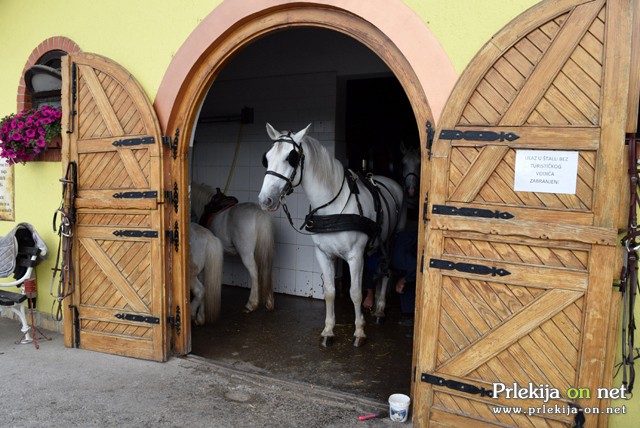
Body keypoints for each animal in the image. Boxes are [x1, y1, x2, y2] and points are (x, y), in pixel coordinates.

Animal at [256, 122, 402, 346]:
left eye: (292, 158)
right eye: (267, 157)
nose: (266, 200)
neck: (333, 206)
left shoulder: (355, 257)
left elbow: (355, 293)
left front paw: (359, 331)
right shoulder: (323, 255)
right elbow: (330, 292)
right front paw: (328, 331)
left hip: (392, 240)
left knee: (387, 272)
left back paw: (380, 309)